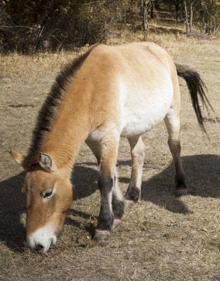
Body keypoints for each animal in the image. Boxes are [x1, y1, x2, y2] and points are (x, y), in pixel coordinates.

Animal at [11, 42, 212, 252]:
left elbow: (106, 180)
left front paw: (104, 225)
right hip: (135, 128)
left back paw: (181, 185)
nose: (35, 244)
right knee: (138, 153)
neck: (92, 88)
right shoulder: (94, 141)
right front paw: (120, 208)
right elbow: (112, 175)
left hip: (172, 114)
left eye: (47, 193)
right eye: (25, 192)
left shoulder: (110, 137)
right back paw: (133, 194)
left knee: (174, 146)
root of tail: (164, 54)